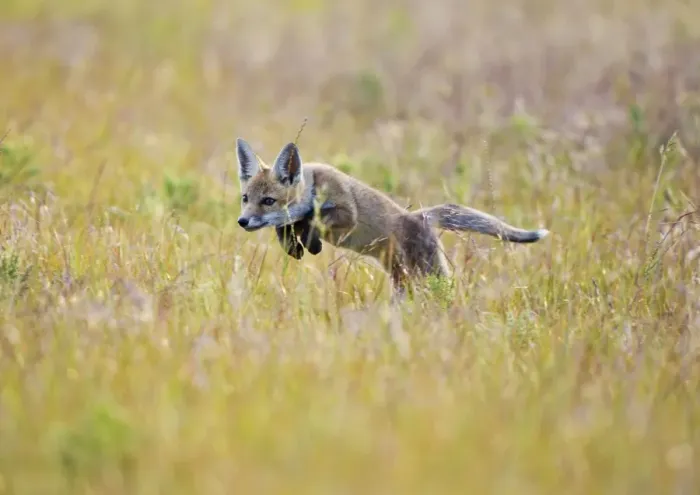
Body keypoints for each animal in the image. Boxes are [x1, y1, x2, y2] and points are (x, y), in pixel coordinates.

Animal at [235, 137, 549, 299]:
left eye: (268, 201)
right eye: (246, 199)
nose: (242, 222)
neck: (312, 184)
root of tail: (418, 216)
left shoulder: (346, 212)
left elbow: (318, 217)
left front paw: (311, 239)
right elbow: (289, 232)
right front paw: (298, 245)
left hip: (429, 275)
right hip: (403, 281)